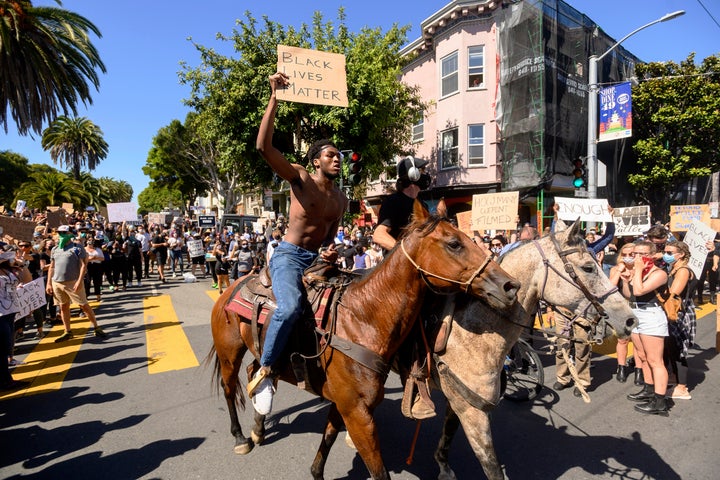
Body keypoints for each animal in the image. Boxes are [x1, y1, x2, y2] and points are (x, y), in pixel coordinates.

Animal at [207, 199, 516, 480]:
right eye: (454, 243)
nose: (509, 285)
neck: (363, 318)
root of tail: (233, 286)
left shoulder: (345, 405)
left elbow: (328, 439)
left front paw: (316, 471)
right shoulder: (357, 413)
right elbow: (378, 471)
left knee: (255, 371)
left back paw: (258, 426)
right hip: (229, 353)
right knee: (230, 386)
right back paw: (240, 437)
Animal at [428, 218, 636, 480]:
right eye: (588, 268)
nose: (630, 320)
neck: (472, 335)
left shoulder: (462, 401)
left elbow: (448, 429)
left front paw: (443, 464)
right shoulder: (472, 411)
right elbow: (491, 465)